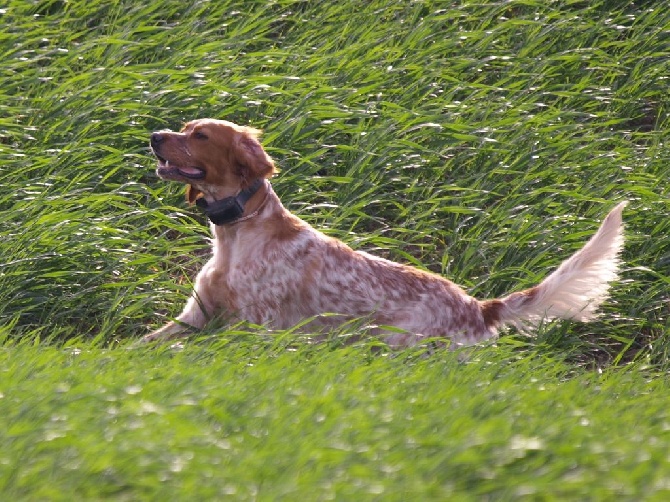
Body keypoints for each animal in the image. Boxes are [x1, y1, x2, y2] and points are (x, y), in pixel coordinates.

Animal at [143, 118, 632, 348]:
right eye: (183, 129)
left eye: (200, 136)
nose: (154, 135)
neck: (239, 233)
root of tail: (479, 307)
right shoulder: (195, 316)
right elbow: (144, 344)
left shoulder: (255, 326)